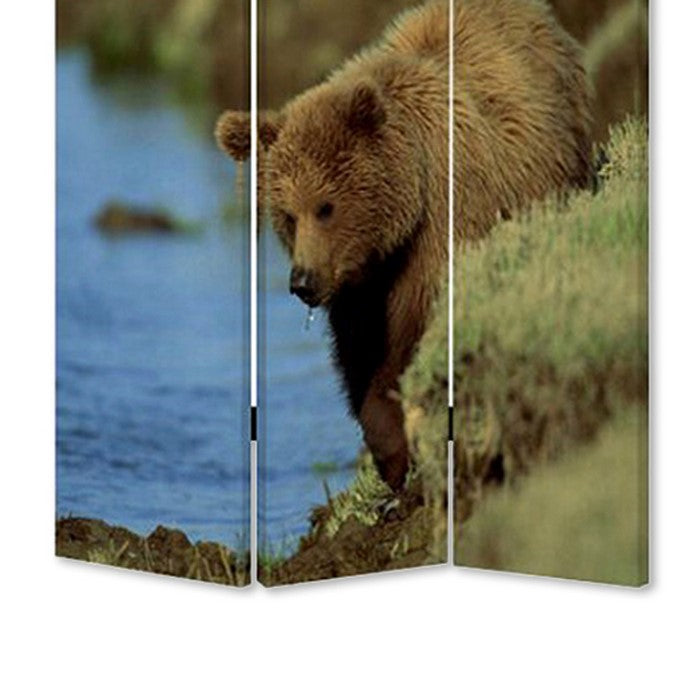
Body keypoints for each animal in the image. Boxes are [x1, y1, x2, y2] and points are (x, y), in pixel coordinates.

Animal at [215, 0, 592, 491]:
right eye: (287, 215)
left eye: (326, 207)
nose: (303, 282)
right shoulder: (358, 287)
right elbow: (360, 355)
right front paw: (390, 453)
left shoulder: (442, 228)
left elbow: (413, 335)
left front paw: (402, 450)